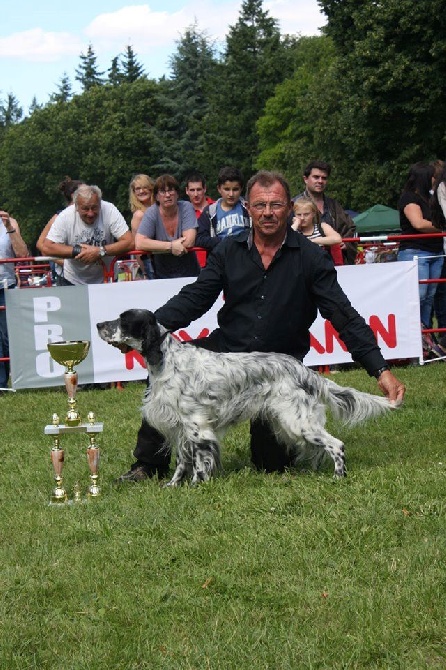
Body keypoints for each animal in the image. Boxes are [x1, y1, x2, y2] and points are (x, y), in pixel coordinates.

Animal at [96, 310, 396, 488]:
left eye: (124, 320)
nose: (98, 323)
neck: (167, 361)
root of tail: (306, 371)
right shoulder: (180, 427)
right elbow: (182, 461)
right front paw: (172, 486)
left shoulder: (196, 425)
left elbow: (200, 461)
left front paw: (196, 486)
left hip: (298, 421)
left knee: (336, 444)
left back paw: (337, 476)